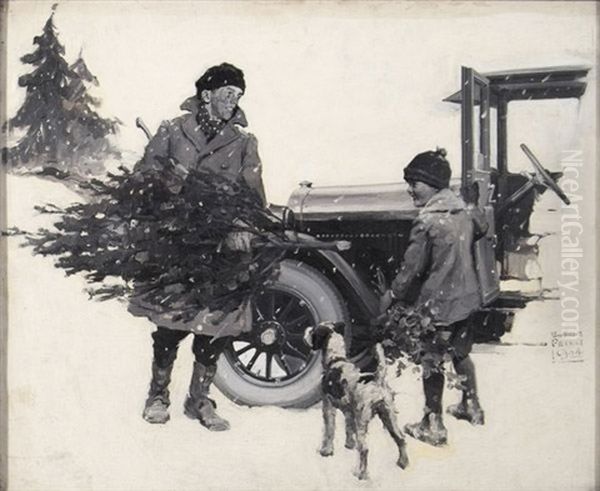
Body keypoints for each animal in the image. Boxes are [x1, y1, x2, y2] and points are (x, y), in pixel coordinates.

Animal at [302, 322, 410, 480]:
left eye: (313, 332)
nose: (306, 330)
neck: (336, 359)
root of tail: (378, 381)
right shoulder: (348, 411)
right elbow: (348, 428)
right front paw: (349, 445)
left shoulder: (328, 406)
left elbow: (329, 430)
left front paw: (326, 451)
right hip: (389, 415)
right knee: (401, 438)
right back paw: (403, 463)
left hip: (363, 419)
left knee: (365, 448)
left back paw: (361, 474)